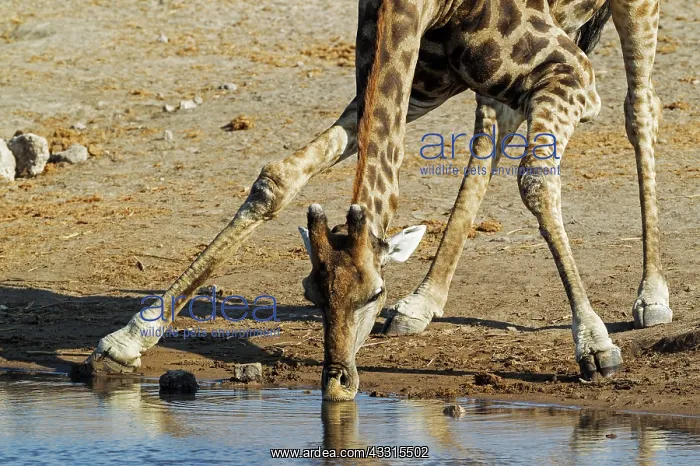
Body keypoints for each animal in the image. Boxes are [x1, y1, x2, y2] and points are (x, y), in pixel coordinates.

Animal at [85, 0, 671, 402]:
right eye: (312, 294)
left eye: (373, 294)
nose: (338, 383)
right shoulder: (412, 86)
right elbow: (277, 180)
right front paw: (128, 339)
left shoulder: (571, 75)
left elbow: (536, 181)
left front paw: (595, 348)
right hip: (480, 79)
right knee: (493, 125)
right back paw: (425, 302)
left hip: (630, 12)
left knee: (640, 109)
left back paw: (652, 296)